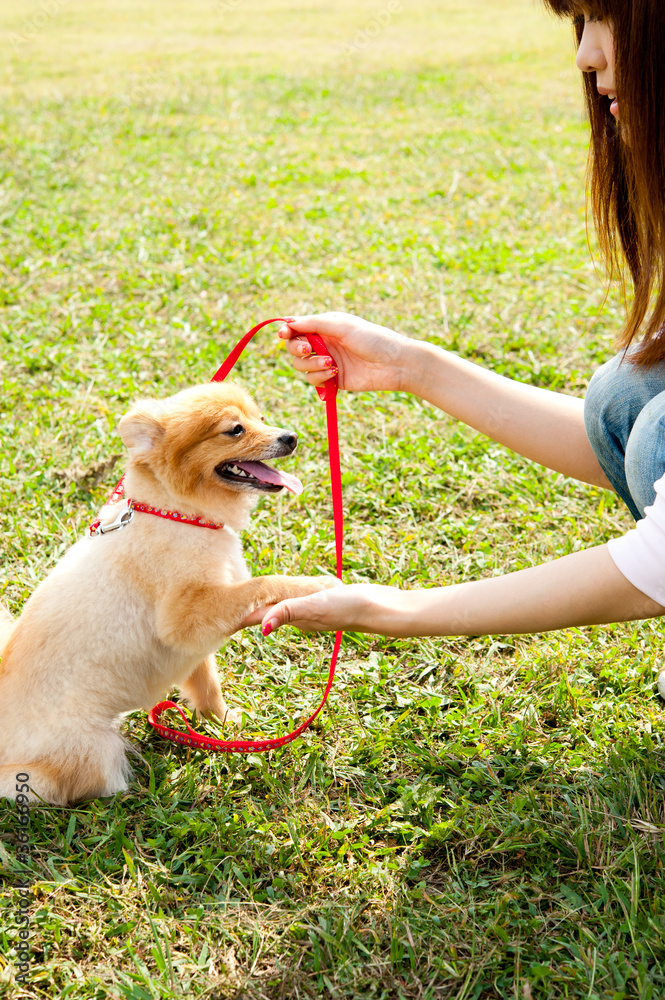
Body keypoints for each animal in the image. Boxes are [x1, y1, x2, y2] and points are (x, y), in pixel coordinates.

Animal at [0, 380, 338, 804]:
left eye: (261, 417)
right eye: (235, 430)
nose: (289, 437)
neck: (179, 513)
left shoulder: (193, 643)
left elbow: (207, 684)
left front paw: (222, 723)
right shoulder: (184, 617)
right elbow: (261, 584)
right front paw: (316, 584)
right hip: (91, 752)